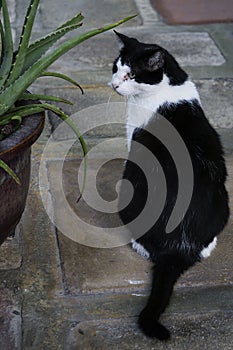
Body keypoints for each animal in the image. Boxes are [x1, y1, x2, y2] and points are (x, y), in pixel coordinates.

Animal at [109, 31, 229, 340]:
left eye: (131, 75)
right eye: (116, 68)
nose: (114, 85)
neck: (167, 87)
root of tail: (178, 248)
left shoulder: (134, 138)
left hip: (131, 183)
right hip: (224, 200)